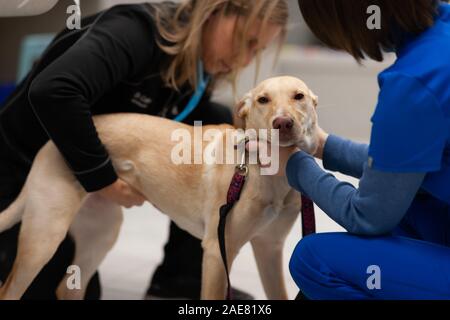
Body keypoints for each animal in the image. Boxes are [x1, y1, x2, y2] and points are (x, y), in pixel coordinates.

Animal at [0, 75, 320, 300]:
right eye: (263, 100)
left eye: (299, 96)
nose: (282, 122)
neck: (268, 173)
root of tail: (50, 144)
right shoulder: (218, 251)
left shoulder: (269, 249)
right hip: (44, 237)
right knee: (10, 290)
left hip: (102, 233)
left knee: (68, 289)